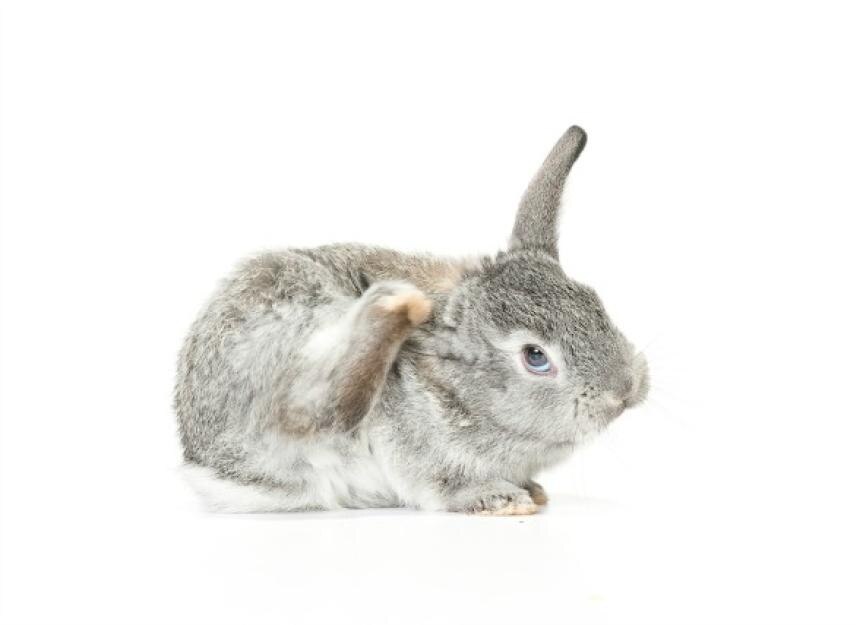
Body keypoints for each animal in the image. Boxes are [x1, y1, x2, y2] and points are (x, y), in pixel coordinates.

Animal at [174, 126, 649, 515]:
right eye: (535, 356)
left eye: (595, 302)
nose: (625, 391)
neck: (457, 384)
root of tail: (205, 457)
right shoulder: (414, 444)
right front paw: (501, 499)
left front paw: (532, 491)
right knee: (314, 411)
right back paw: (396, 304)